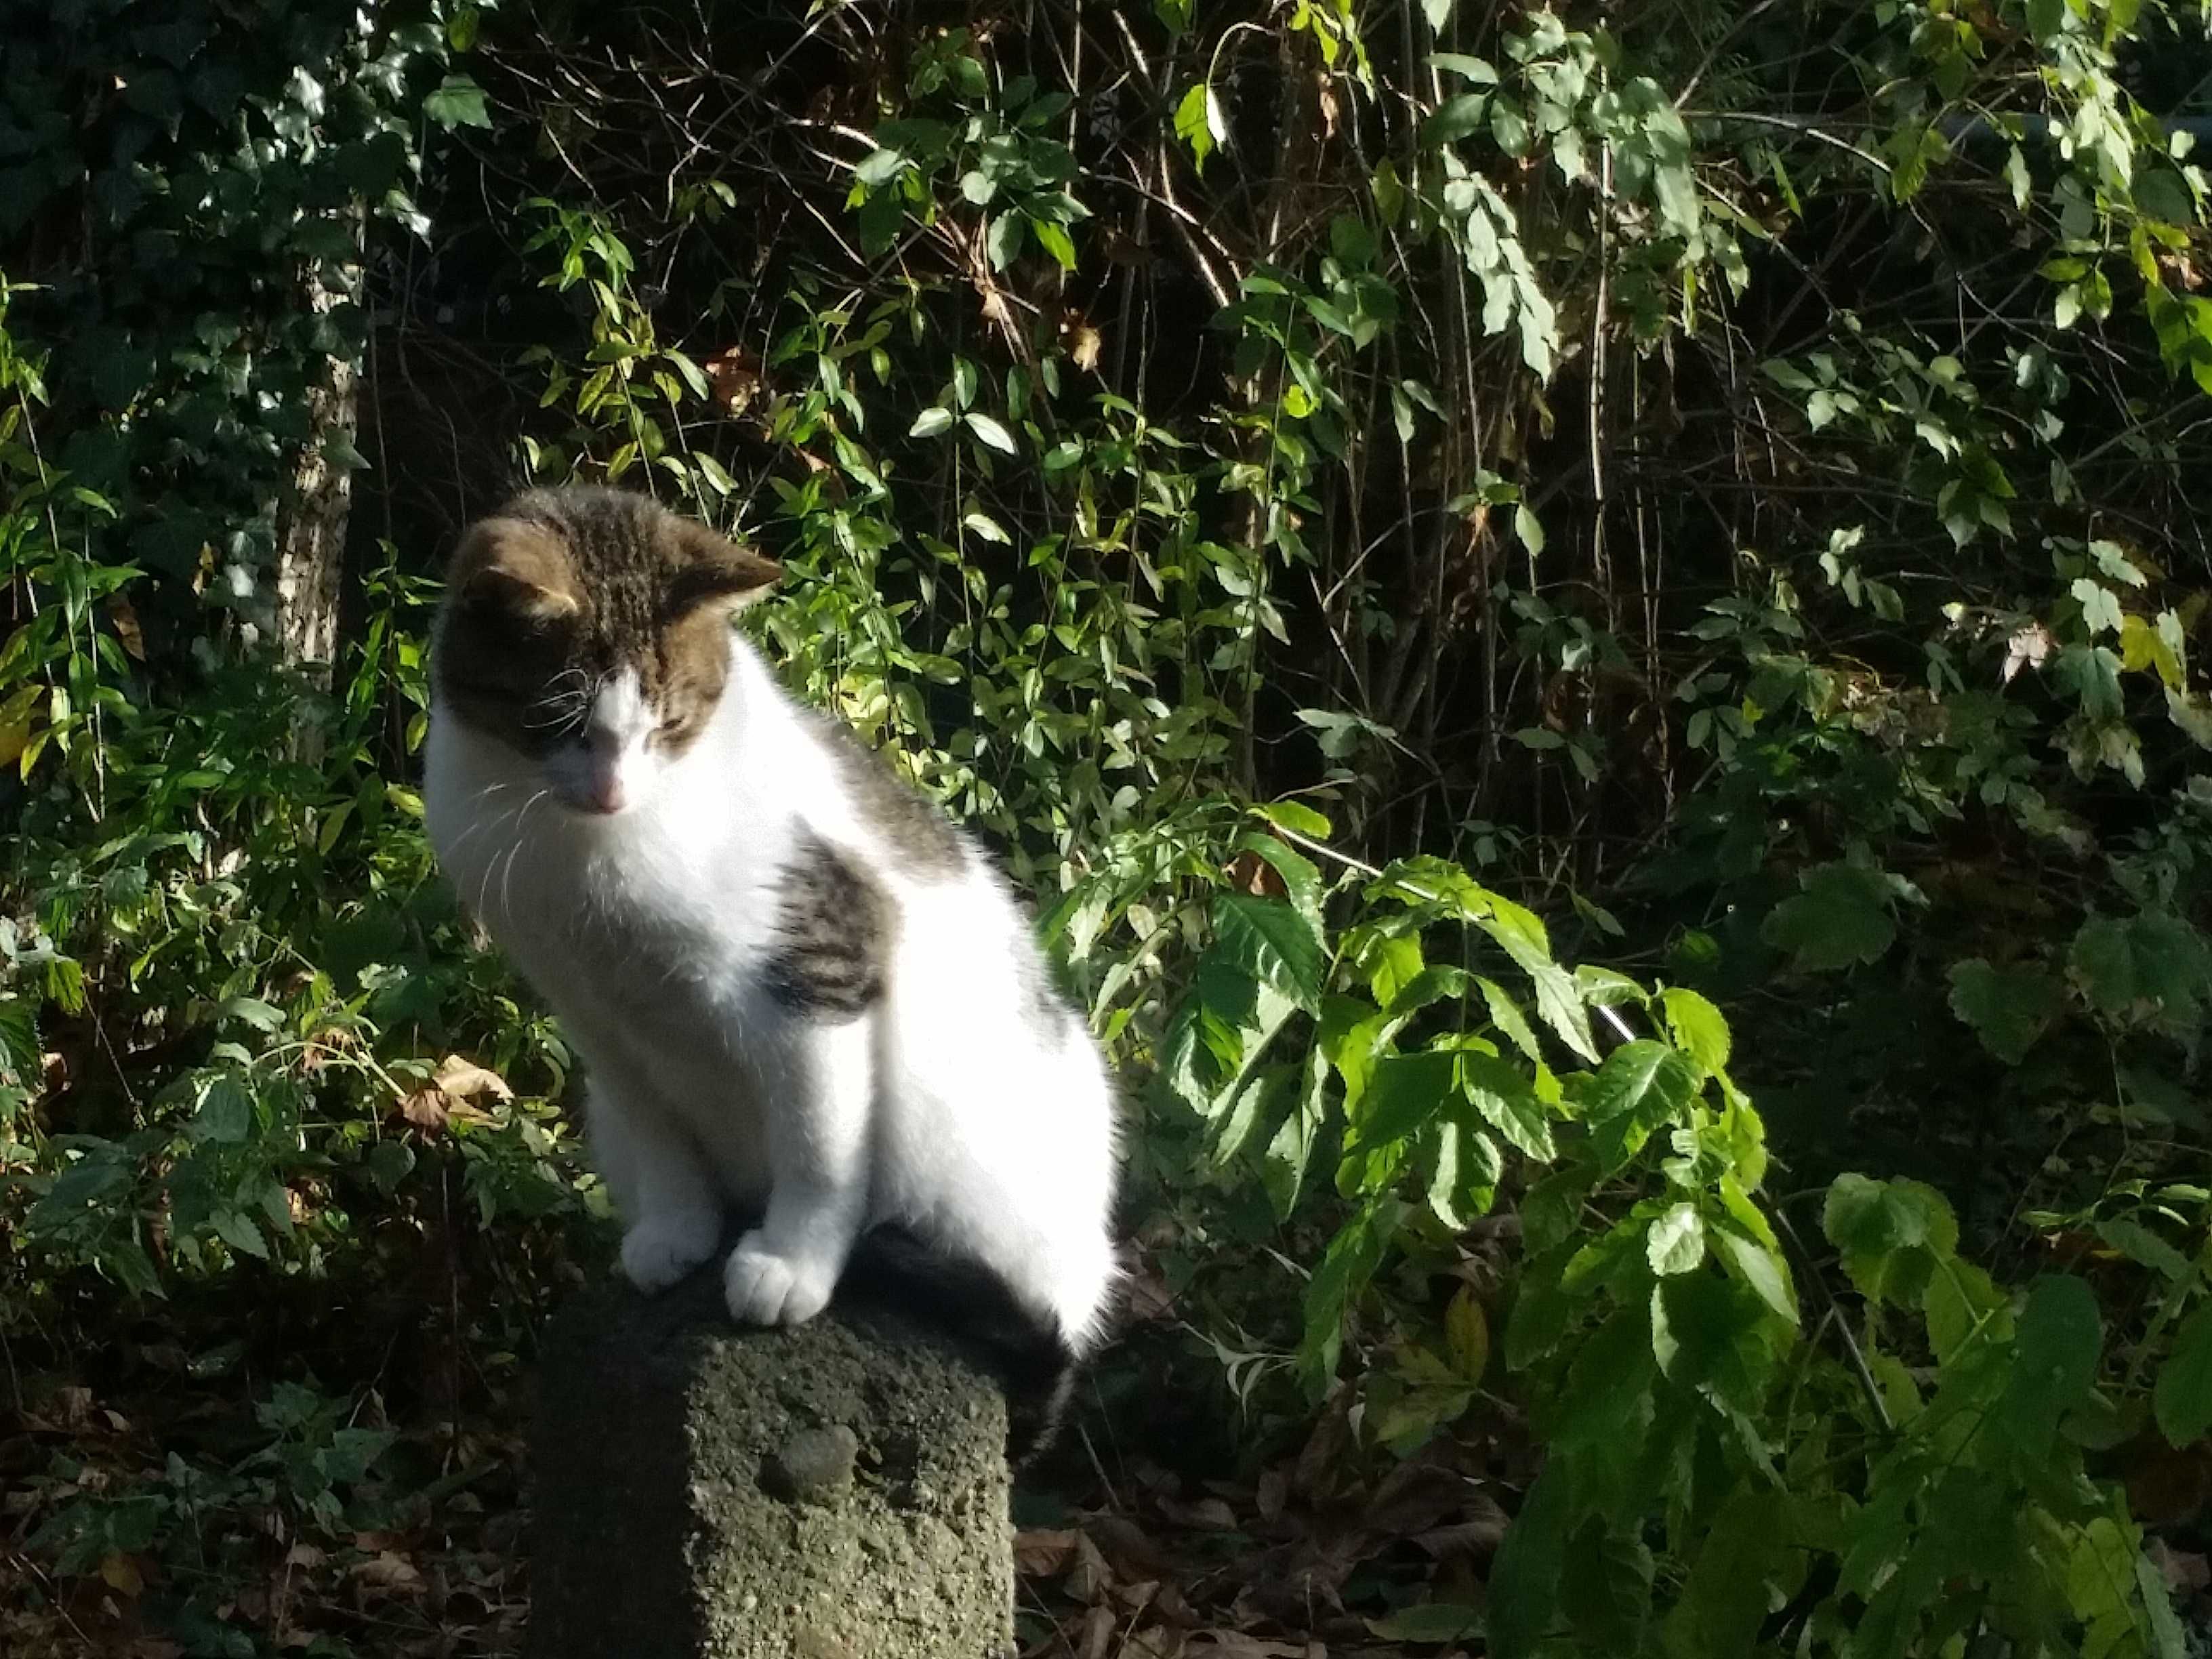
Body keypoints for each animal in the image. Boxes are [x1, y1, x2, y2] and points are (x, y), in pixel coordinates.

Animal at [422, 487, 1124, 1451]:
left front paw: (792, 1265)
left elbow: (818, 1145)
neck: (585, 861)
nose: (612, 792)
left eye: (669, 723)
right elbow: (659, 1129)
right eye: (556, 722)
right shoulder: (594, 1012)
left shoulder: (819, 972)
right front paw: (678, 1229)